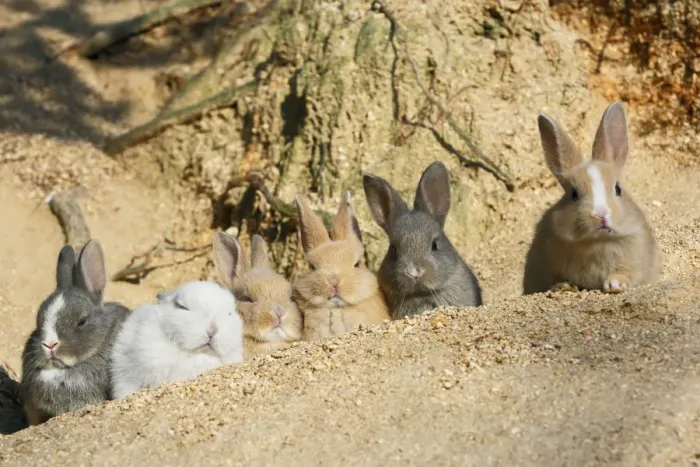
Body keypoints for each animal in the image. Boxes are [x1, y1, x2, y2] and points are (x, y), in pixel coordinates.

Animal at [523, 102, 660, 295]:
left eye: (618, 189)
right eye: (573, 194)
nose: (600, 214)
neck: (598, 241)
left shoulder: (635, 259)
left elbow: (625, 273)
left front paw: (614, 285)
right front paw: (562, 287)